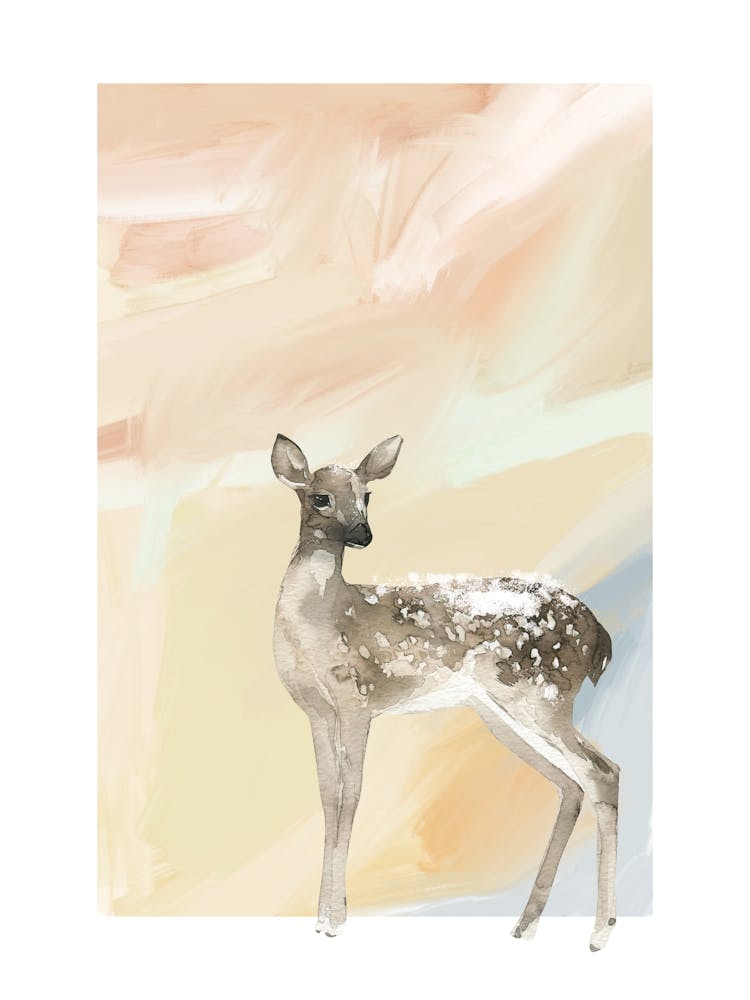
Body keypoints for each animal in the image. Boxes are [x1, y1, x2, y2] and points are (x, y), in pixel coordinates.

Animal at [271, 433, 619, 951]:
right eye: (320, 497)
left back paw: (599, 932)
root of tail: (599, 636)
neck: (321, 622)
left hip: (542, 695)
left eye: (367, 495)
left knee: (602, 771)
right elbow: (328, 797)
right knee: (571, 784)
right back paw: (526, 924)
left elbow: (350, 797)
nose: (363, 534)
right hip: (500, 711)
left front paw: (334, 919)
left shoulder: (357, 700)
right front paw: (322, 917)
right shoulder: (316, 711)